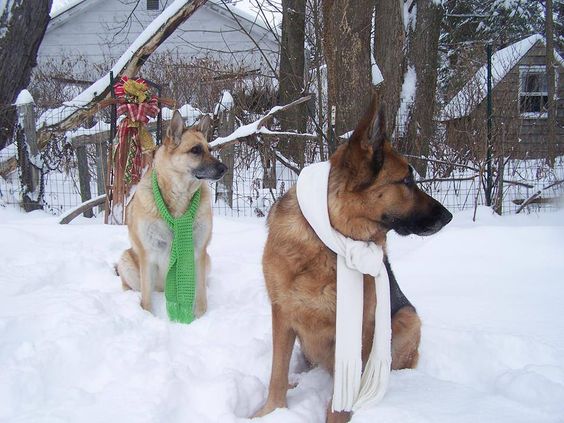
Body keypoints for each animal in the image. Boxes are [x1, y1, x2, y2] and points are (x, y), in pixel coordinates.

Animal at [117, 111, 227, 322]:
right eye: (195, 150)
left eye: (209, 149)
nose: (224, 168)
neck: (178, 202)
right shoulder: (148, 255)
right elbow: (146, 300)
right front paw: (147, 317)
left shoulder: (199, 252)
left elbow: (201, 295)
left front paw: (200, 317)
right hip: (126, 259)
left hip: (206, 260)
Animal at [256, 95, 454, 423]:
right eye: (406, 181)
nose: (449, 217)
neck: (327, 239)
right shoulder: (282, 314)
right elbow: (277, 374)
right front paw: (270, 412)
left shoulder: (358, 329)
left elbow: (341, 396)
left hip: (406, 318)